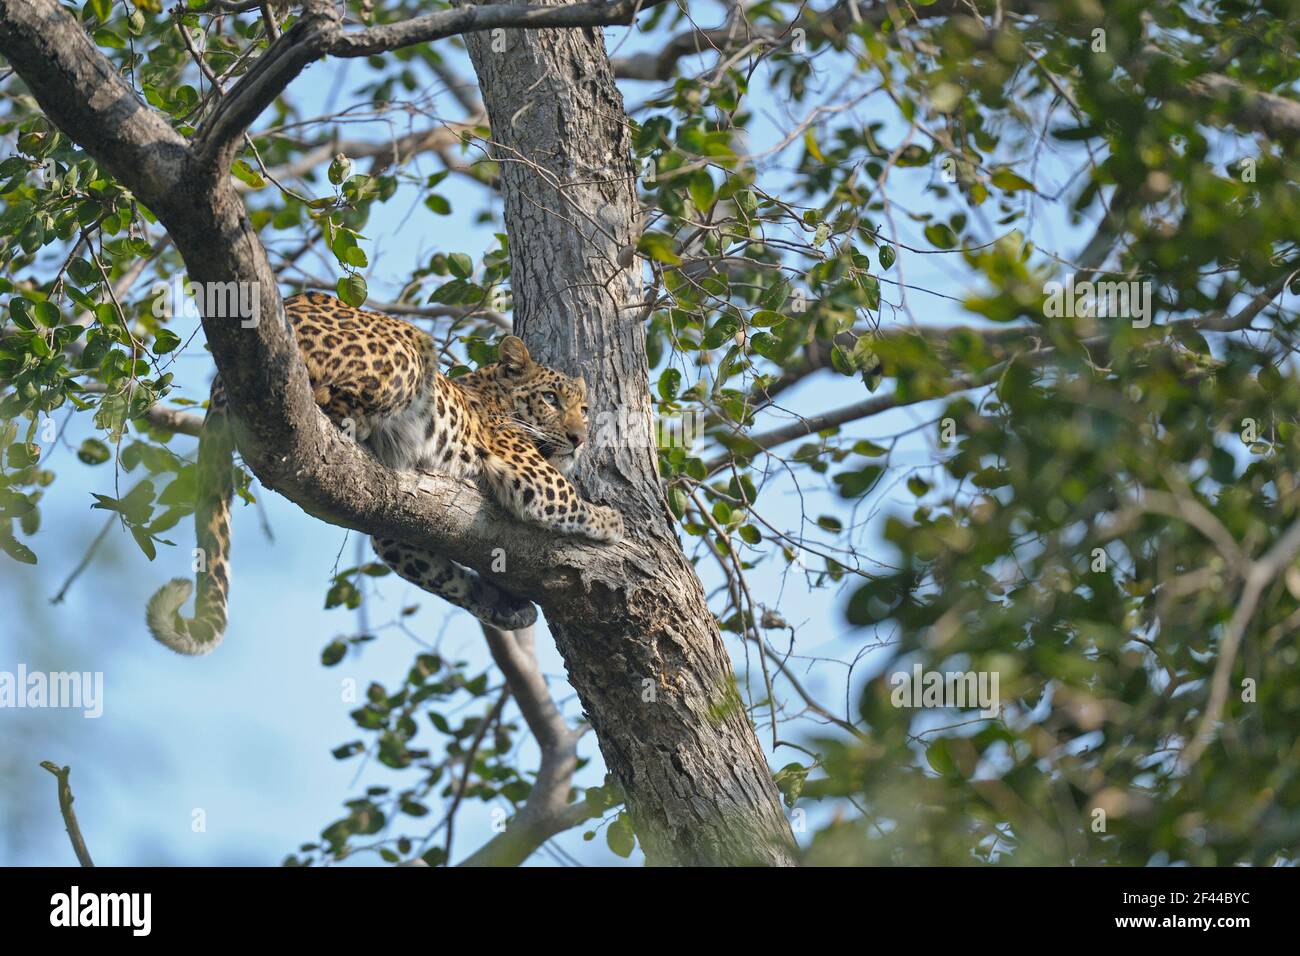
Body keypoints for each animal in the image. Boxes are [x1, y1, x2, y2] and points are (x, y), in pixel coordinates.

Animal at [147, 287, 624, 655]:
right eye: (550, 399)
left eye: (584, 408)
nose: (580, 438)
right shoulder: (521, 462)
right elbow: (565, 495)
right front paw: (614, 521)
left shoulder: (395, 536)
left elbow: (443, 576)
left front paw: (503, 605)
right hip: (409, 345)